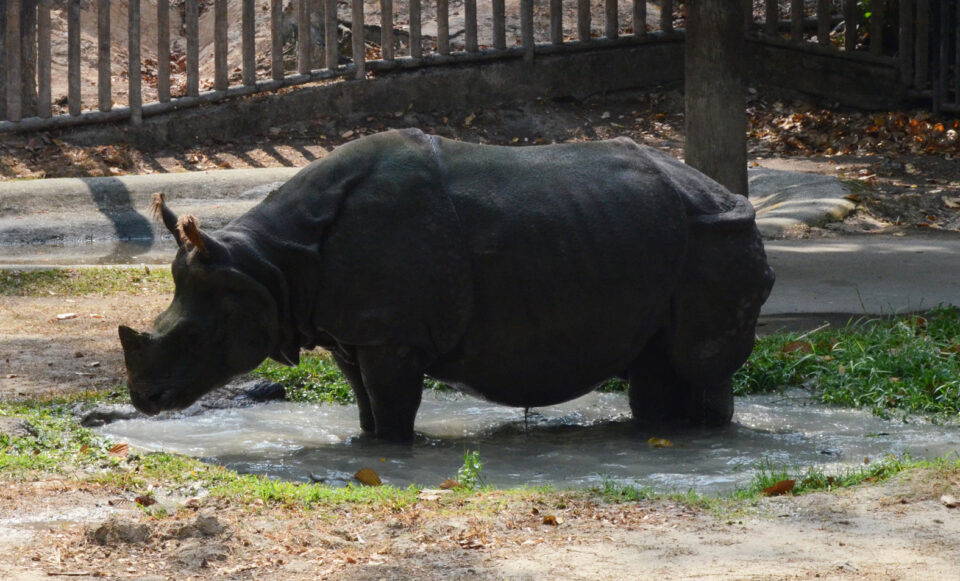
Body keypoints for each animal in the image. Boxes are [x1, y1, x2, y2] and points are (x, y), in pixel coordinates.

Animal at [119, 129, 774, 441]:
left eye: (194, 338)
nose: (143, 399)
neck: (268, 266)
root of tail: (733, 196)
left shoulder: (392, 335)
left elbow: (393, 410)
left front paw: (393, 452)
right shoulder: (354, 330)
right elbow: (366, 406)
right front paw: (366, 445)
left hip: (717, 238)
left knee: (697, 362)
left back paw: (705, 436)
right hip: (650, 239)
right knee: (654, 361)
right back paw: (658, 433)